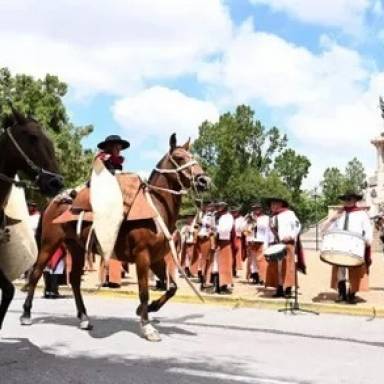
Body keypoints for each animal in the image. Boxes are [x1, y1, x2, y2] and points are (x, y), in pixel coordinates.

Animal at [20, 134, 210, 342]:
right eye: (179, 157)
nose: (203, 180)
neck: (155, 209)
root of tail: (54, 202)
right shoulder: (142, 257)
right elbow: (144, 292)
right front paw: (147, 326)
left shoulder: (157, 258)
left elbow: (172, 288)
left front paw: (148, 309)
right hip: (49, 244)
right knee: (36, 273)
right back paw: (26, 314)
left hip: (76, 248)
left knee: (75, 280)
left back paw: (84, 318)